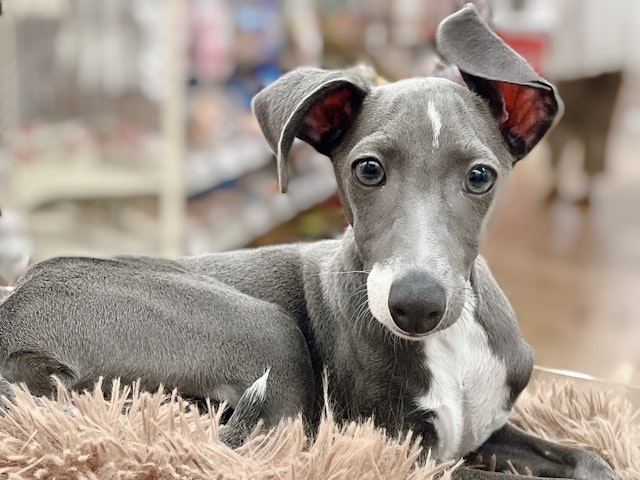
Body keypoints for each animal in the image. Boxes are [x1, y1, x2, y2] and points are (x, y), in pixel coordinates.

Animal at [0, 4, 616, 480]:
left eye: (481, 176)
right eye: (368, 169)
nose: (416, 305)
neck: (452, 344)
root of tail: (17, 336)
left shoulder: (481, 433)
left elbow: (593, 461)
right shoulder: (399, 453)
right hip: (268, 332)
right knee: (275, 453)